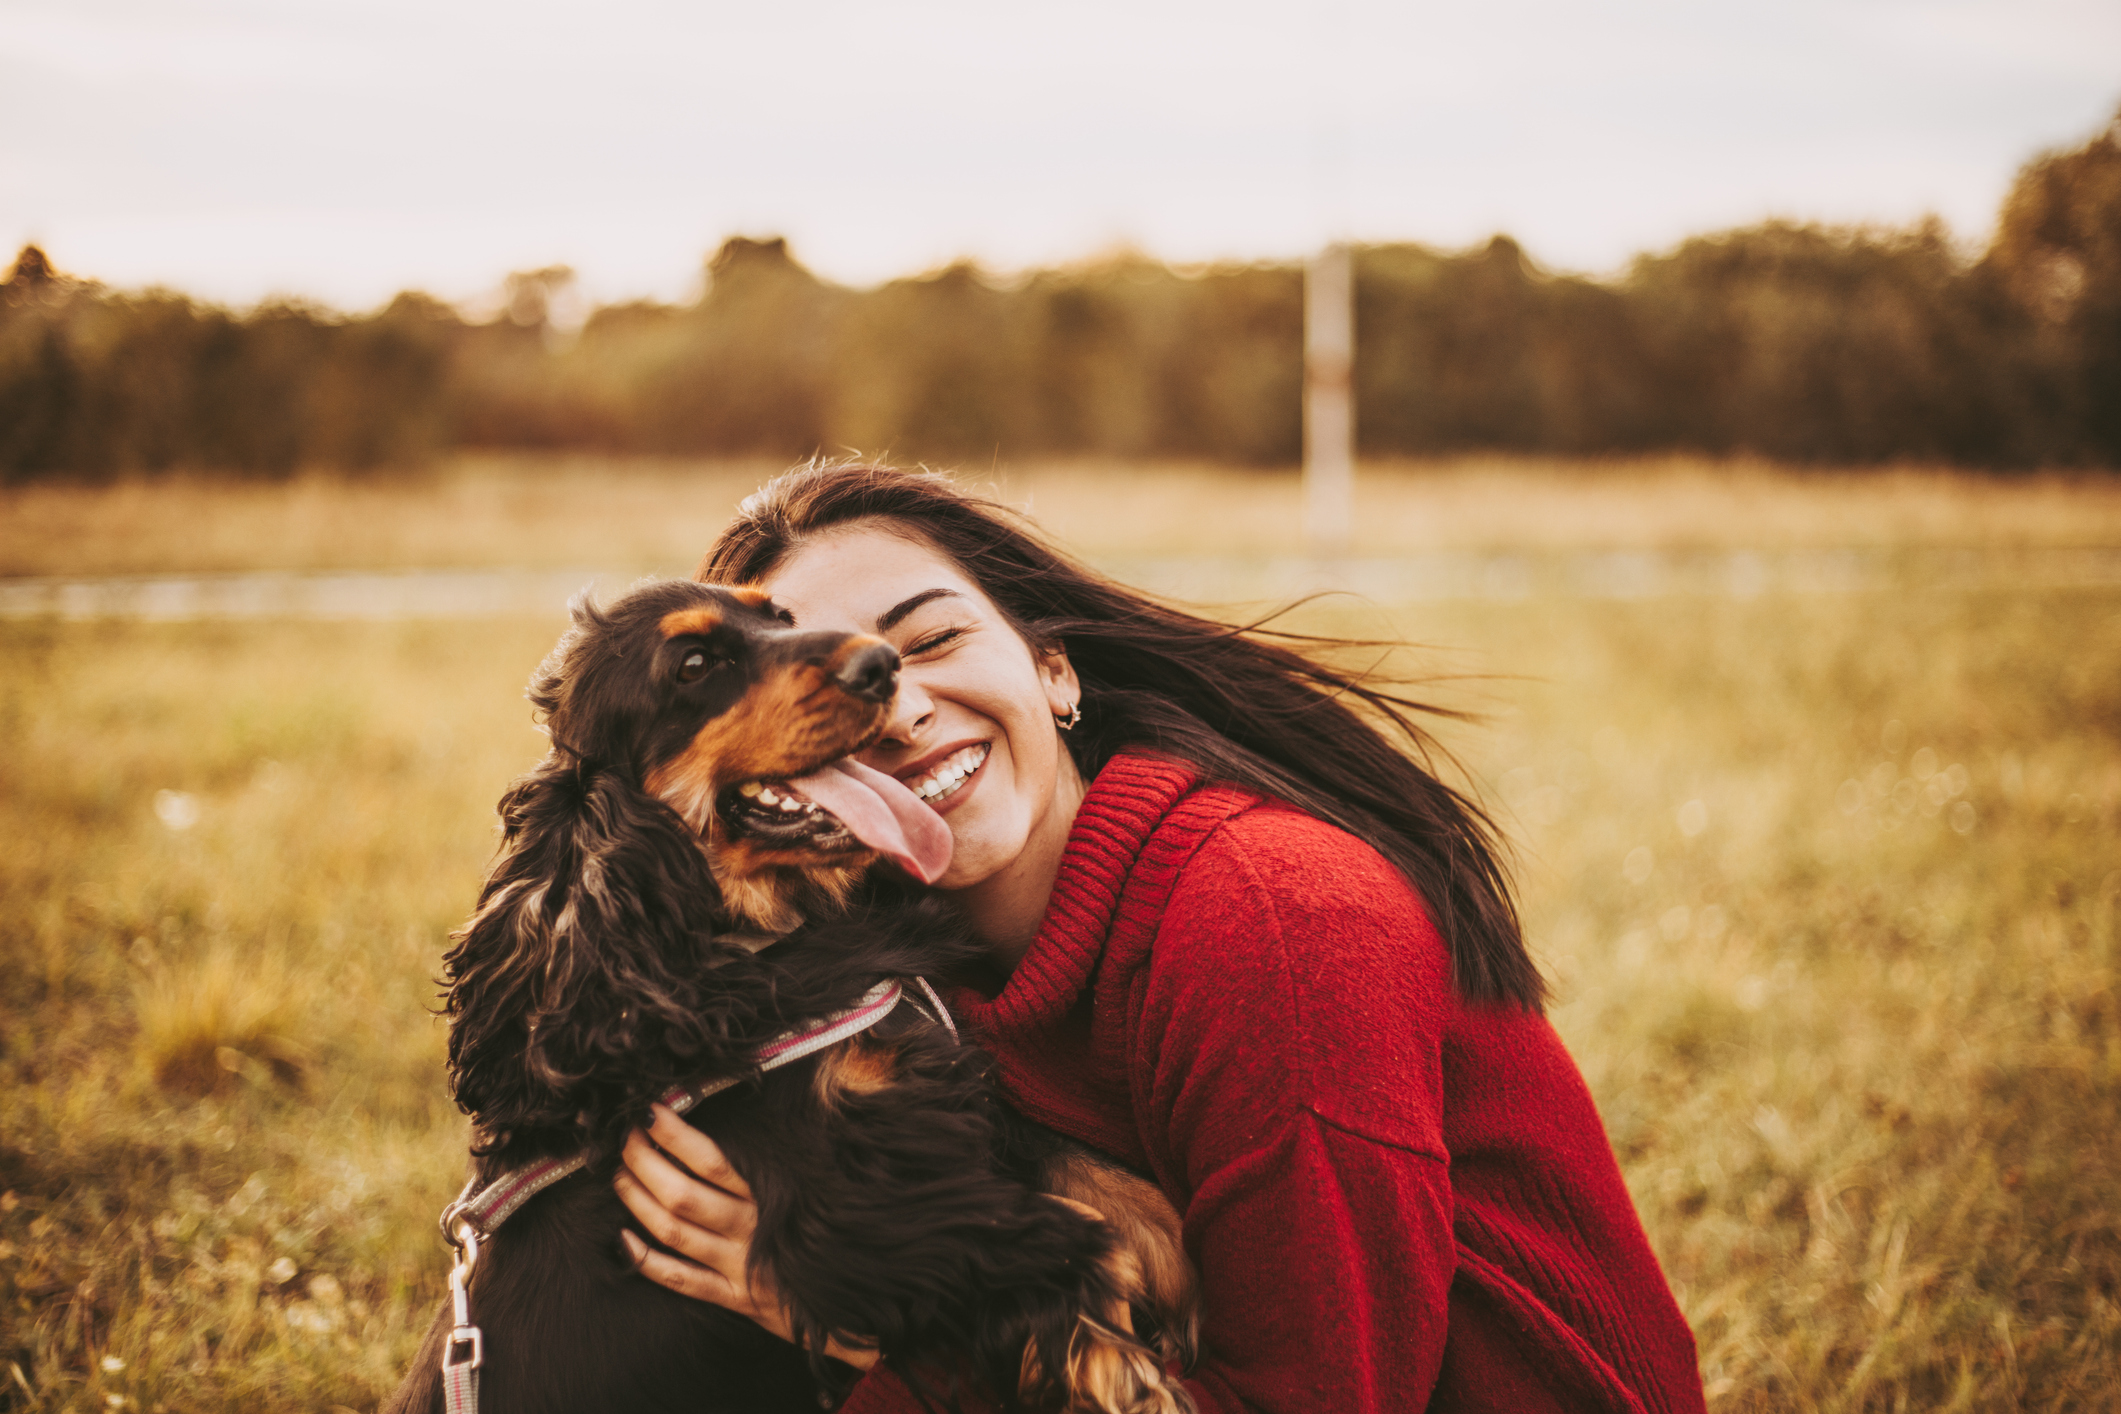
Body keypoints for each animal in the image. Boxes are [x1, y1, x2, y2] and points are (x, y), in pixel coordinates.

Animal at [390, 576, 1204, 1414]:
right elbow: (1067, 1242)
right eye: (693, 664)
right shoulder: (838, 1203)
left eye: (778, 617)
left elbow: (1112, 1188)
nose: (881, 666)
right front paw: (1137, 1381)